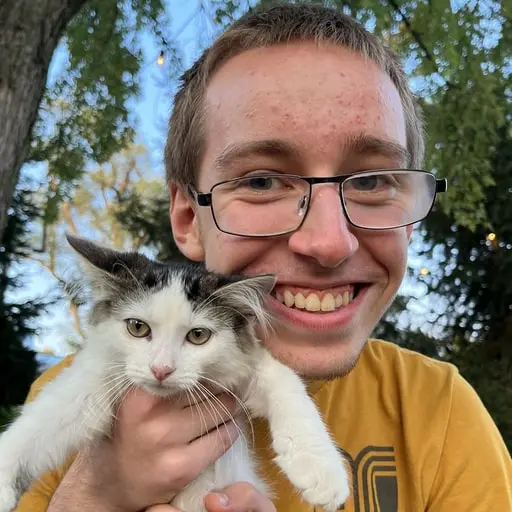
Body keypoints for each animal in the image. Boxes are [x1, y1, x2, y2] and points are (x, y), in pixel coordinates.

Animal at [0, 235, 350, 512]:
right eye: (137, 327)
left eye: (198, 336)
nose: (161, 369)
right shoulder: (95, 374)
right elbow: (43, 419)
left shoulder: (244, 363)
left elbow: (286, 381)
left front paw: (322, 469)